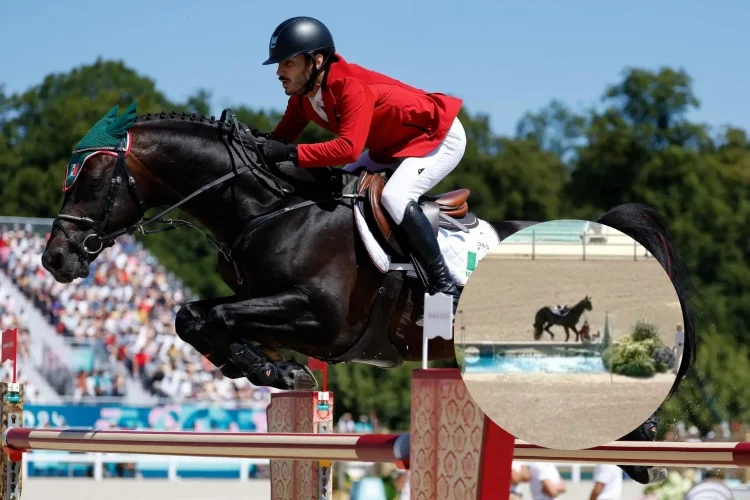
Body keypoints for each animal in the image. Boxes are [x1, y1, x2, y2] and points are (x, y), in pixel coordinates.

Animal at [39, 100, 700, 406]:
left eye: (90, 181)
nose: (55, 259)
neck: (271, 207)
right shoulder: (264, 301)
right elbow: (193, 315)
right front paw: (268, 367)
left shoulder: (322, 317)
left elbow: (212, 315)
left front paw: (272, 368)